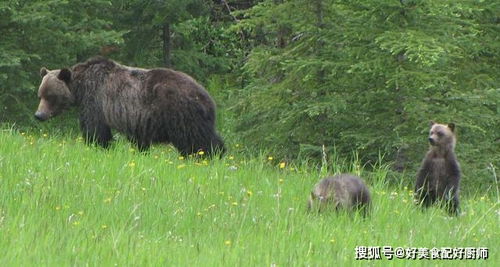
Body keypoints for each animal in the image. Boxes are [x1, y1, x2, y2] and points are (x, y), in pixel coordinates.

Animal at [36, 56, 227, 157]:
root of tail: (207, 96)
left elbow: (96, 130)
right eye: (40, 94)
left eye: (50, 96)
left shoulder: (95, 101)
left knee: (196, 139)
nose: (39, 115)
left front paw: (98, 147)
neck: (80, 88)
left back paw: (208, 155)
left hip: (180, 112)